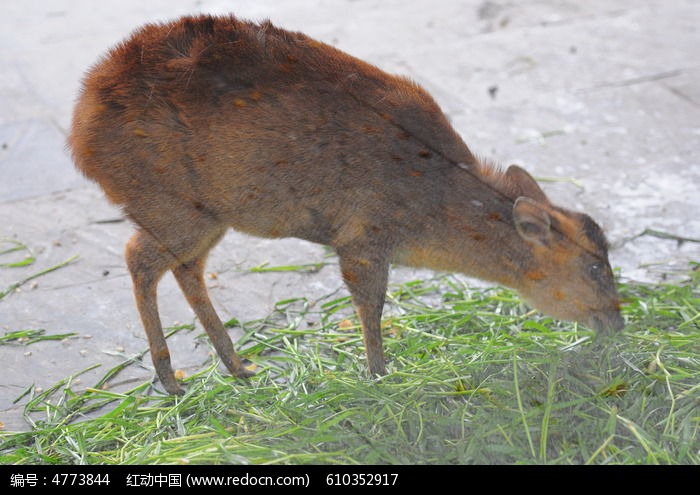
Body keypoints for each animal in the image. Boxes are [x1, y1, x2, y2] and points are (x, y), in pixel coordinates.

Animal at [67, 14, 624, 396]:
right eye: (596, 269)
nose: (618, 324)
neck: (430, 209)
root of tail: (80, 132)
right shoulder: (363, 237)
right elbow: (371, 306)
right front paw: (380, 375)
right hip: (171, 204)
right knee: (139, 258)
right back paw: (170, 377)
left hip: (207, 213)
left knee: (185, 268)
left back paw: (238, 365)